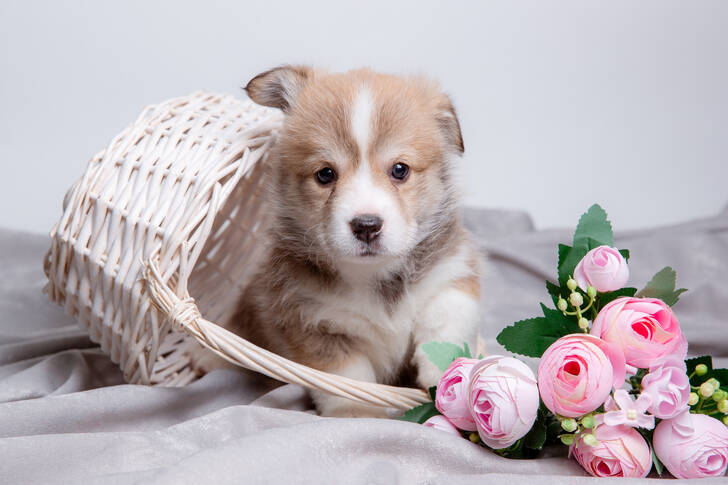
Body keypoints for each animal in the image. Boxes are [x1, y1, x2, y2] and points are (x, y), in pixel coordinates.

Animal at [203, 66, 484, 418]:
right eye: (325, 174)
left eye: (400, 169)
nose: (367, 226)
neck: (375, 276)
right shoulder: (314, 326)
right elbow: (350, 379)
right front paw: (359, 416)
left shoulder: (452, 269)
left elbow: (447, 314)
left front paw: (445, 370)